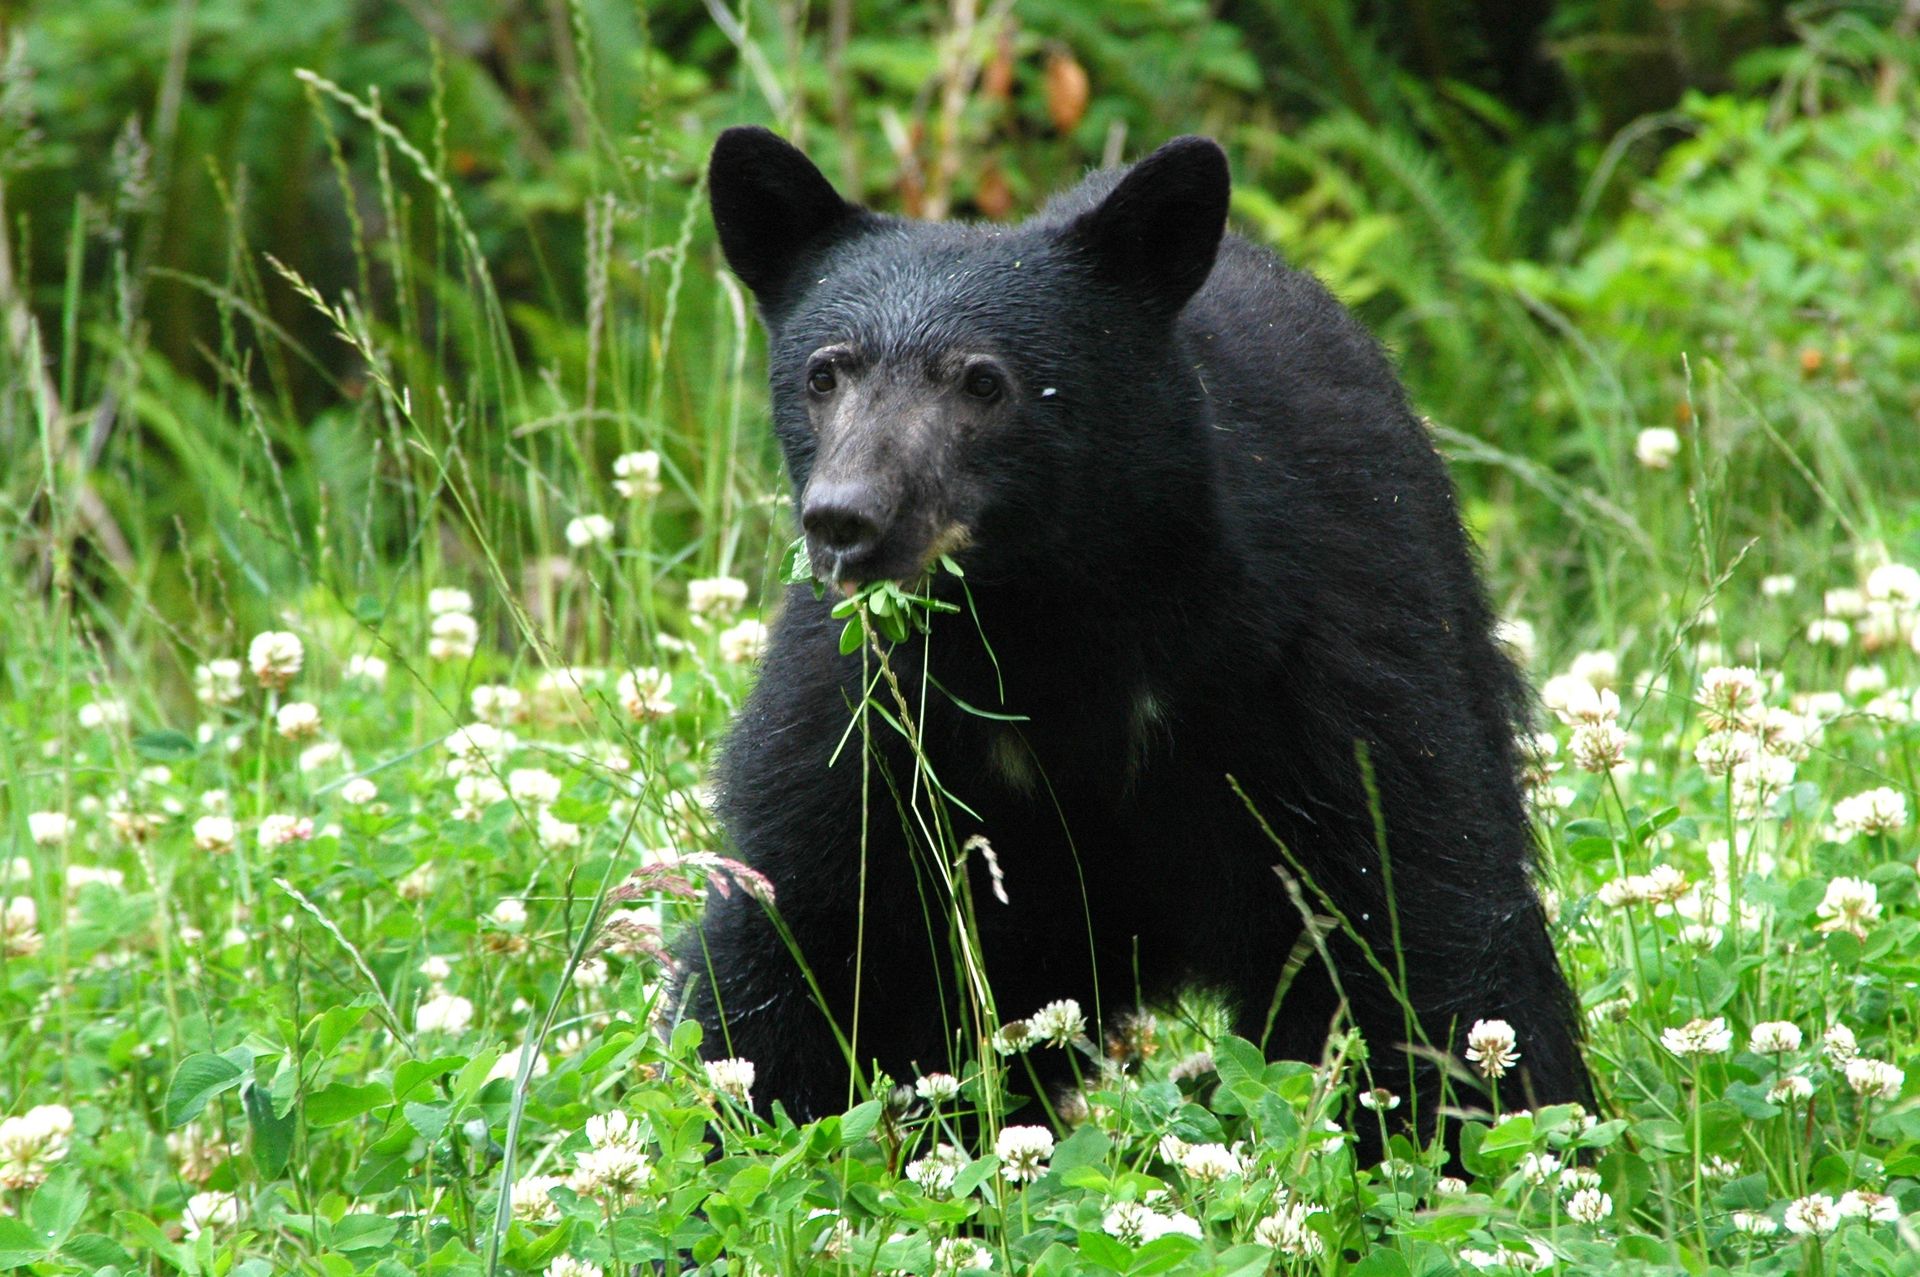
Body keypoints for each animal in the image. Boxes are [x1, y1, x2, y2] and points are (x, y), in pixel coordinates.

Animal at [676, 126, 1589, 1151]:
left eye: (985, 381)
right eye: (825, 373)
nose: (848, 519)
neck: (1045, 625)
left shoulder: (1327, 650)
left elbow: (1411, 901)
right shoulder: (870, 718)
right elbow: (806, 933)